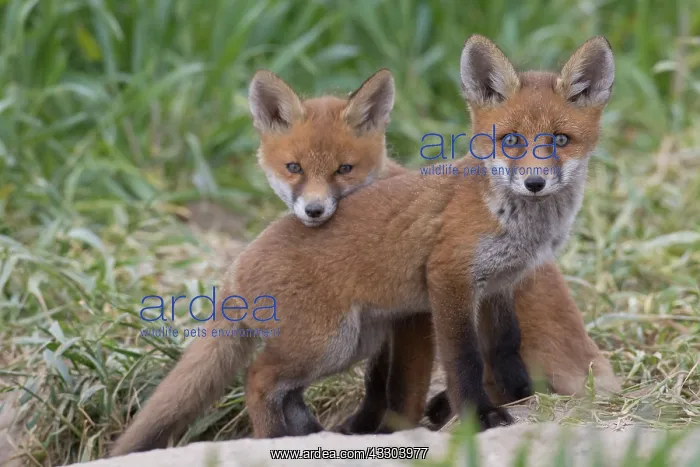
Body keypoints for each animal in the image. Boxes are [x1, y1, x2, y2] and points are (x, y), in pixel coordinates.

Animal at [110, 35, 618, 456]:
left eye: (560, 140)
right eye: (510, 140)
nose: (534, 182)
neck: (515, 221)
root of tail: (241, 260)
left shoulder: (500, 286)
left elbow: (504, 351)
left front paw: (518, 400)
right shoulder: (447, 282)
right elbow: (464, 360)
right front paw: (482, 416)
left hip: (355, 339)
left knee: (282, 387)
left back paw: (310, 432)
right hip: (329, 342)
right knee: (258, 378)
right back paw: (276, 439)